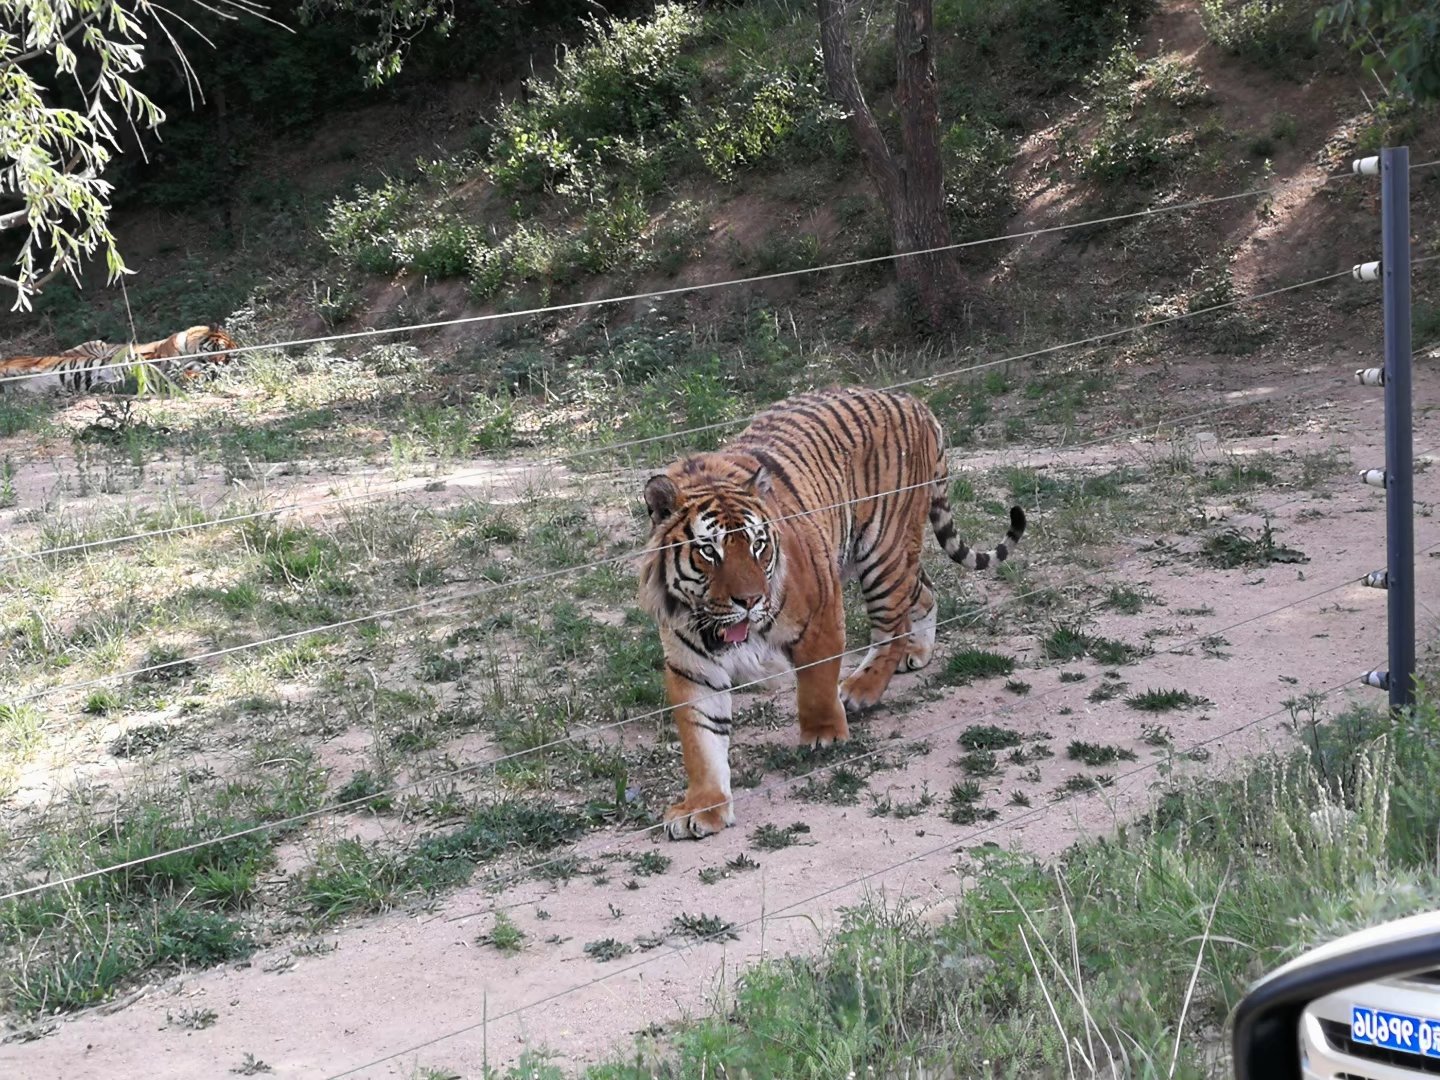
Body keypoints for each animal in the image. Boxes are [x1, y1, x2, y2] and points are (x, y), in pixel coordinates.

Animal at [639, 385, 1025, 840]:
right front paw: (704, 806)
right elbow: (702, 739)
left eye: (757, 545)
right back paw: (917, 652)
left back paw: (861, 689)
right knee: (925, 592)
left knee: (893, 623)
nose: (749, 601)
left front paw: (824, 735)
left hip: (883, 551)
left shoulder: (821, 612)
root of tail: (912, 402)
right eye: (708, 551)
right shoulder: (691, 665)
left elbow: (816, 682)